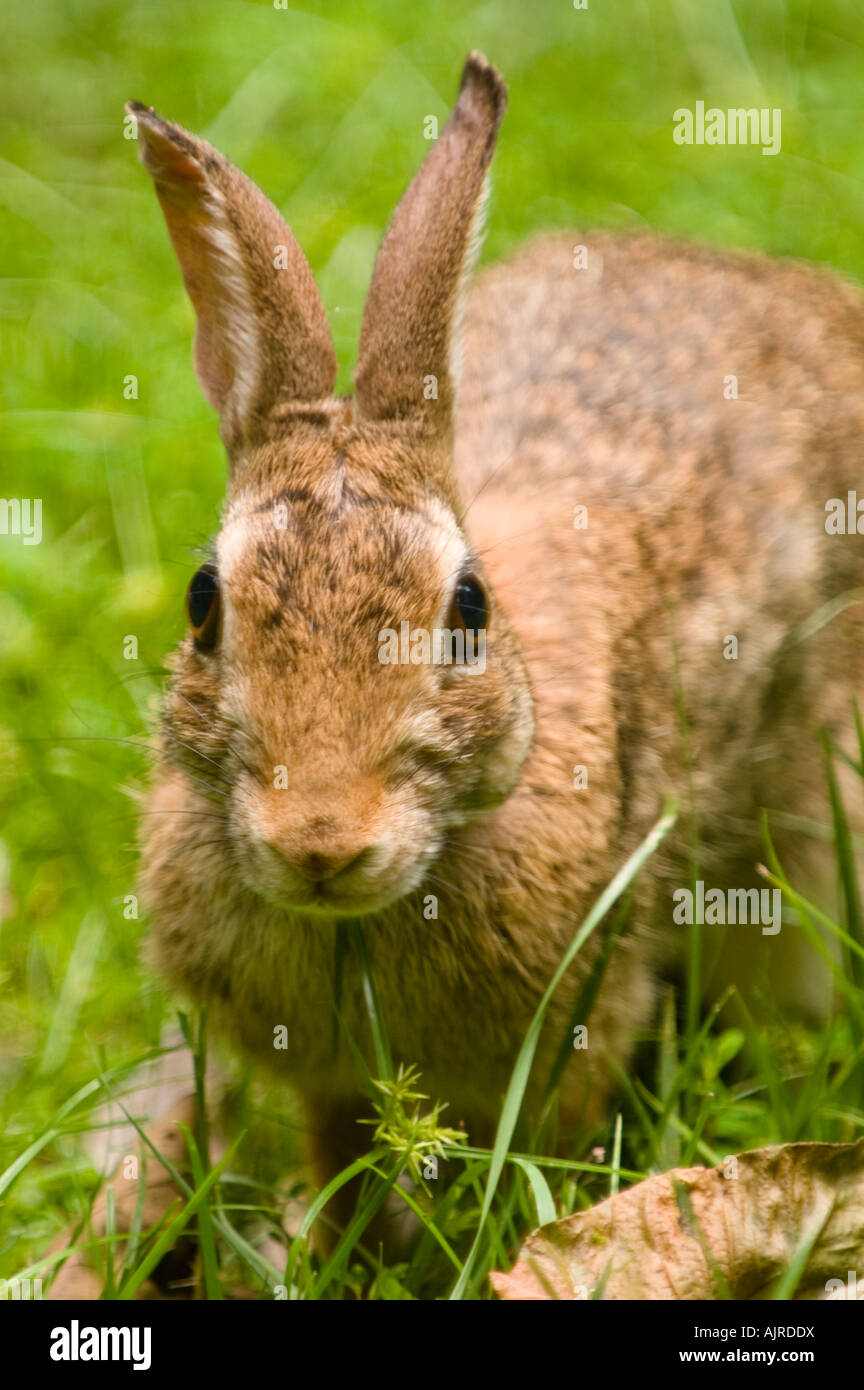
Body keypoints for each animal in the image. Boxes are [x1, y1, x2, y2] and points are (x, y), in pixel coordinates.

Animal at [131, 52, 864, 1231]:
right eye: (205, 606)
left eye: (469, 610)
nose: (322, 842)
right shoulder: (328, 1084)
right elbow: (336, 1156)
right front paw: (336, 1246)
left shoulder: (582, 1025)